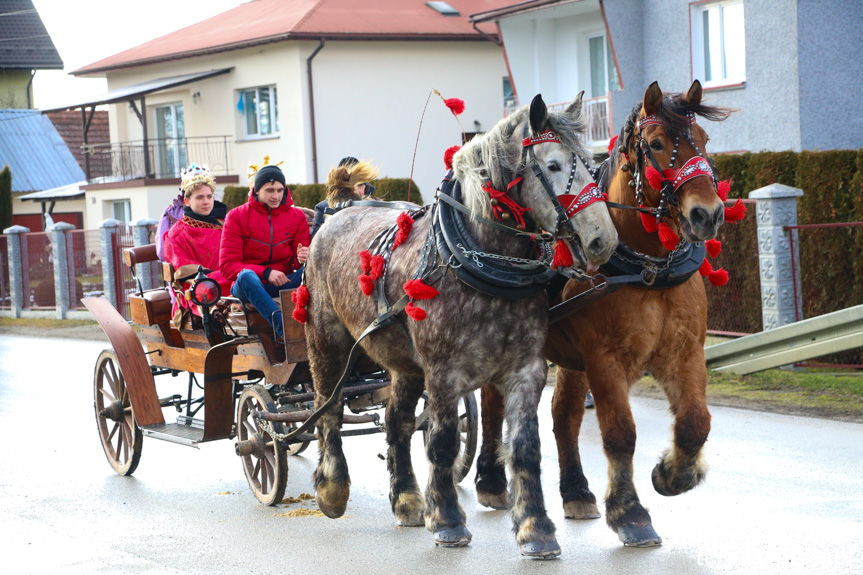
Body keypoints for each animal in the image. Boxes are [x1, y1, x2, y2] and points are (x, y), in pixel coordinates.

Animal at [476, 80, 732, 544]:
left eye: (704, 140)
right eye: (656, 143)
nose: (708, 214)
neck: (647, 270)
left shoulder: (685, 353)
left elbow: (695, 422)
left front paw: (673, 475)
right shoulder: (605, 360)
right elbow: (619, 433)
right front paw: (630, 512)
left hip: (570, 359)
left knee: (564, 416)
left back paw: (577, 491)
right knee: (491, 405)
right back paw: (490, 480)